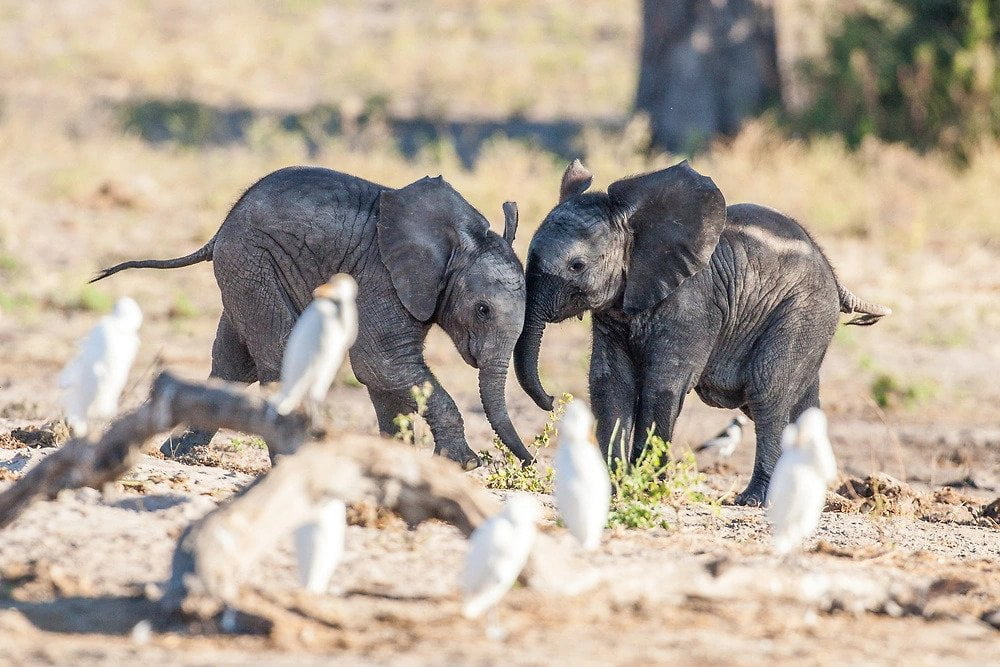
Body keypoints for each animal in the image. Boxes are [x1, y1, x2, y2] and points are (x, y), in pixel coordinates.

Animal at [93, 167, 532, 470]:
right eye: (483, 310)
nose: (528, 462)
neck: (457, 241)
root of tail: (220, 230)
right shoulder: (381, 279)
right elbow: (381, 363)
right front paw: (466, 464)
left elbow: (386, 377)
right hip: (252, 263)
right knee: (277, 353)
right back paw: (288, 457)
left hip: (243, 271)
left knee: (234, 362)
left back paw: (180, 453)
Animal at [516, 160, 892, 506]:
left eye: (577, 266)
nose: (551, 400)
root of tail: (834, 275)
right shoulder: (613, 310)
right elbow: (610, 382)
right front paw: (615, 489)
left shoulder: (693, 302)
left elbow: (663, 384)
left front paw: (647, 489)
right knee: (799, 404)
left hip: (803, 310)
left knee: (767, 394)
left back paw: (754, 501)